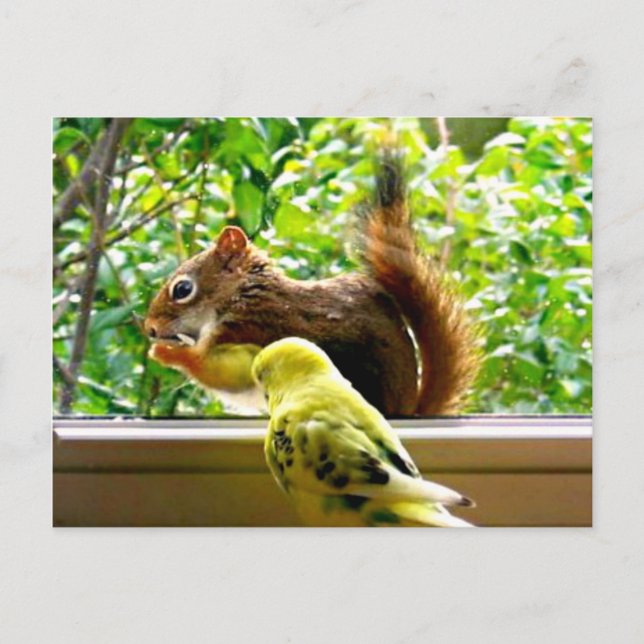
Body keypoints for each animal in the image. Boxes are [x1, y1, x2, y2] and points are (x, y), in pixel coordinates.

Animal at [144, 152, 480, 416]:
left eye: (182, 290)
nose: (149, 329)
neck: (241, 296)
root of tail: (406, 409)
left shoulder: (248, 330)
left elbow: (223, 374)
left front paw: (166, 353)